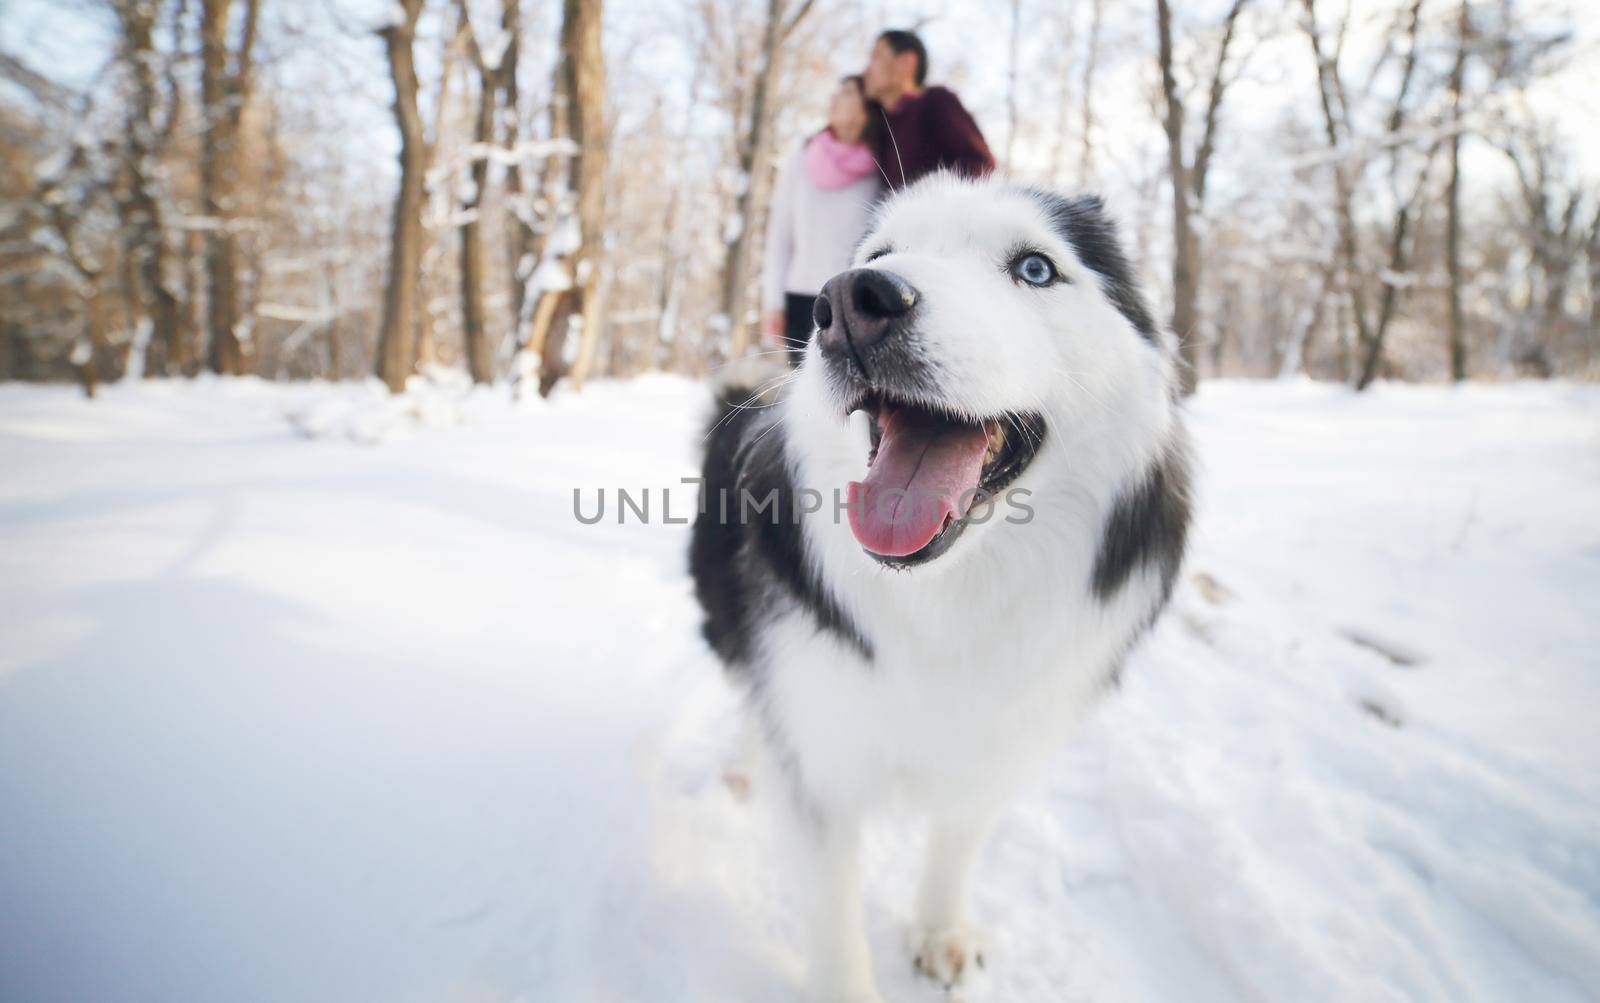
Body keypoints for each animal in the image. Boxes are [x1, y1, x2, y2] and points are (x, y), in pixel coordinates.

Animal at [688, 176, 1190, 998]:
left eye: (1035, 268)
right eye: (878, 255)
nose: (851, 300)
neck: (950, 598)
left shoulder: (997, 734)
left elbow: (958, 836)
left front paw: (940, 929)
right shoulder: (822, 751)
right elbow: (832, 913)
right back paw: (743, 764)